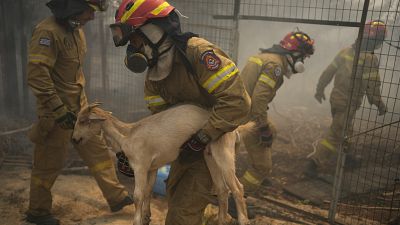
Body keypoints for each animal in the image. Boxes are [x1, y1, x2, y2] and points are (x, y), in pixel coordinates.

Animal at [71, 103, 250, 225]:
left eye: (83, 120)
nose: (74, 139)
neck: (127, 135)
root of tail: (235, 130)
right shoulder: (152, 168)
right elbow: (148, 192)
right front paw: (145, 217)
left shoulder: (140, 166)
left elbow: (138, 195)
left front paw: (136, 221)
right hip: (210, 157)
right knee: (222, 189)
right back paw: (222, 220)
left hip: (224, 153)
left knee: (237, 187)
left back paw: (243, 220)